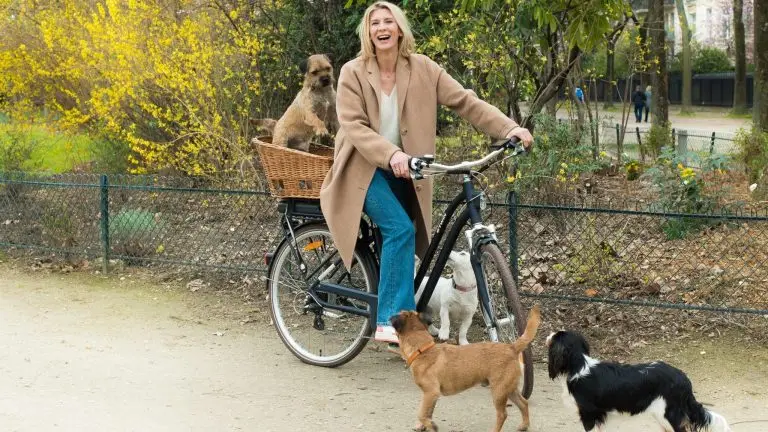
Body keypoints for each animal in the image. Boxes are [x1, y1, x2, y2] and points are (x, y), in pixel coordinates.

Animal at [390, 304, 540, 432]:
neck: (423, 350)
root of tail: (512, 347)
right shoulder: (431, 396)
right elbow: (427, 413)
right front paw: (424, 425)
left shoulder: (430, 393)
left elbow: (422, 413)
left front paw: (430, 425)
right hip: (509, 389)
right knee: (523, 403)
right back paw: (524, 425)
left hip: (499, 391)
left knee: (502, 414)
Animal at [544, 330, 732, 432]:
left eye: (555, 337)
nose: (548, 334)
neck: (578, 366)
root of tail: (683, 377)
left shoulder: (589, 415)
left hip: (669, 414)